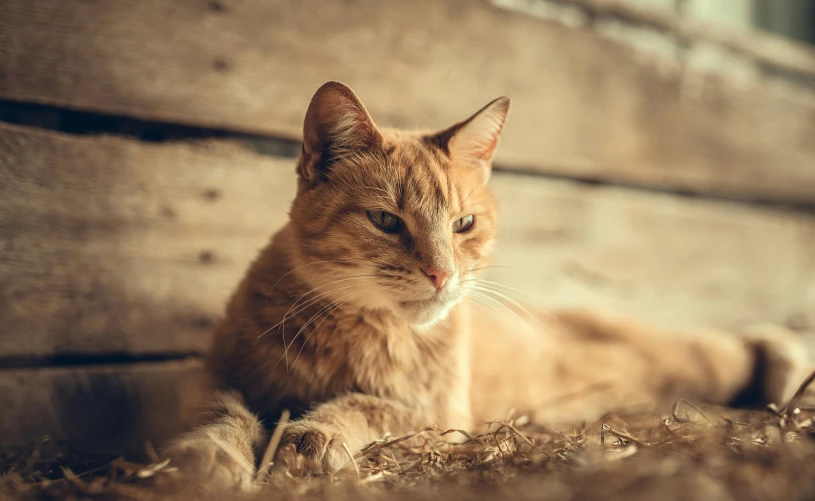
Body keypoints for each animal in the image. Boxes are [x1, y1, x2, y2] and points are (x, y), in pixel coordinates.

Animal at [163, 81, 812, 488]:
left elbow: (369, 406)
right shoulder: (219, 378)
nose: (441, 273)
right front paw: (205, 456)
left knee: (728, 345)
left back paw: (786, 362)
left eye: (463, 224)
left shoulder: (436, 413)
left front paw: (309, 438)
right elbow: (220, 414)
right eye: (386, 221)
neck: (349, 330)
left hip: (669, 355)